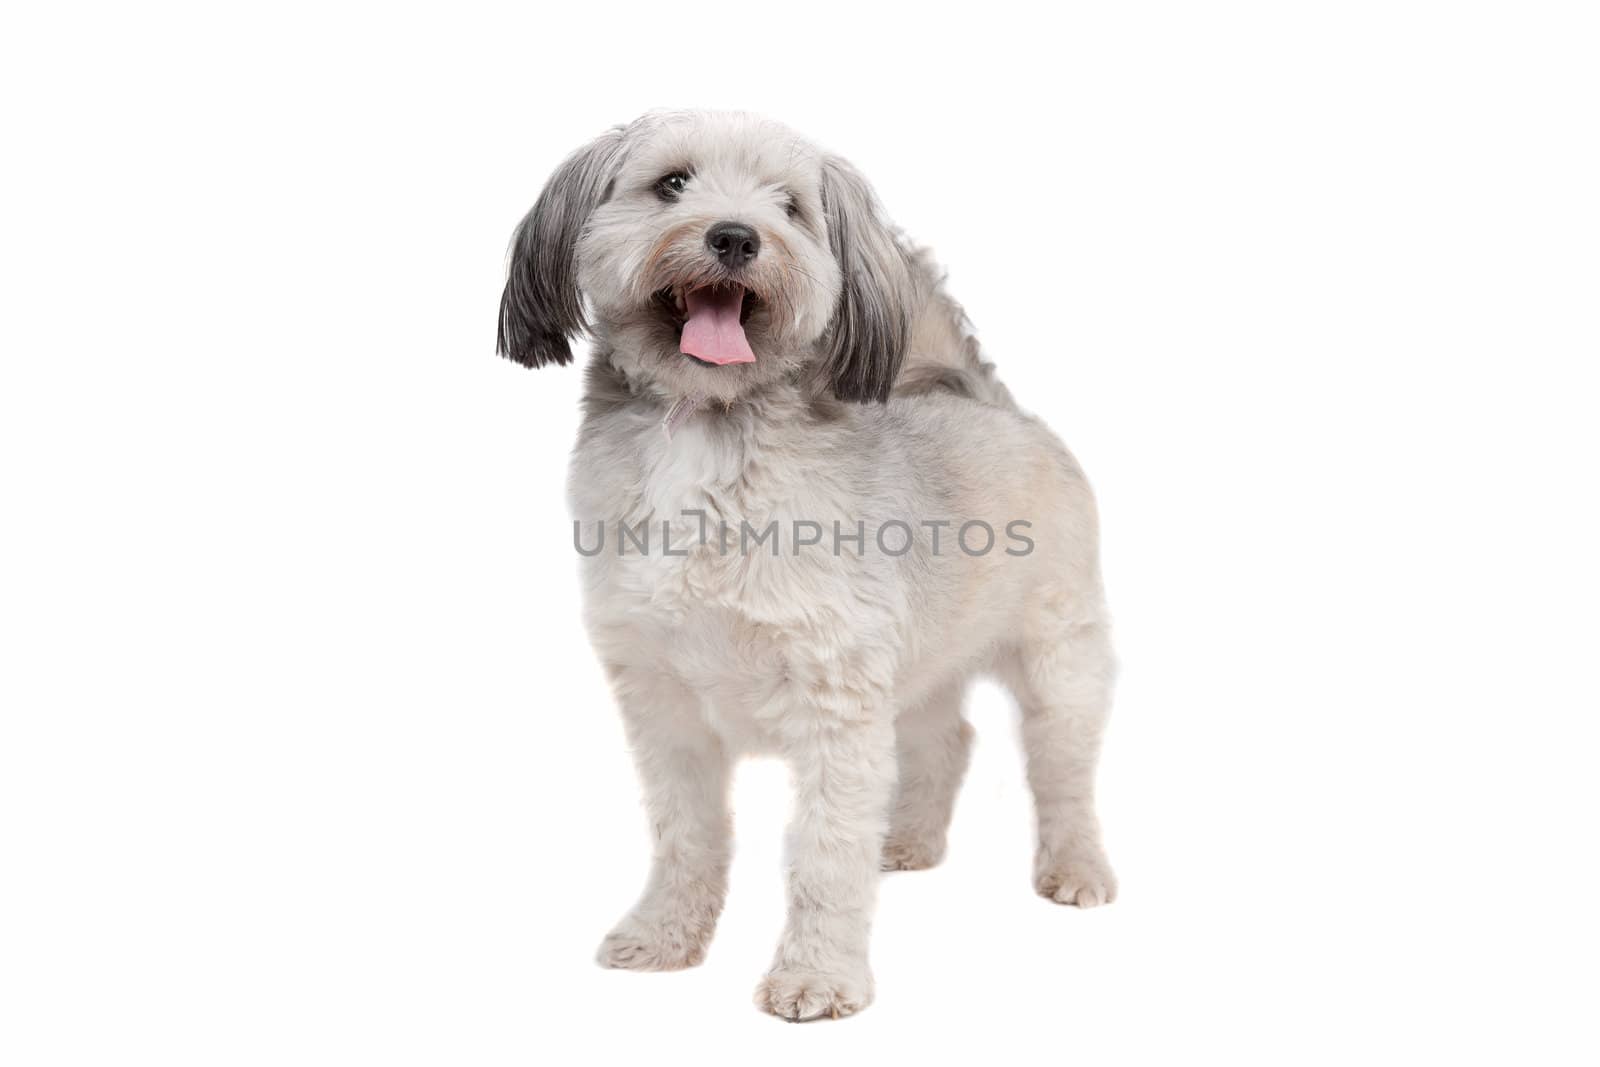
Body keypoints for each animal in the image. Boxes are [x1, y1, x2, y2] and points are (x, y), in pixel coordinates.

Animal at [496, 112, 1113, 1023]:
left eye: (788, 206)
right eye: (673, 183)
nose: (735, 236)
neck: (711, 428)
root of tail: (985, 401)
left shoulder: (835, 702)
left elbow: (826, 852)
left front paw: (817, 978)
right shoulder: (661, 703)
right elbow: (685, 832)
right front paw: (665, 934)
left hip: (1059, 660)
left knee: (1063, 767)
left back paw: (1076, 867)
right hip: (919, 664)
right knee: (947, 737)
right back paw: (910, 838)